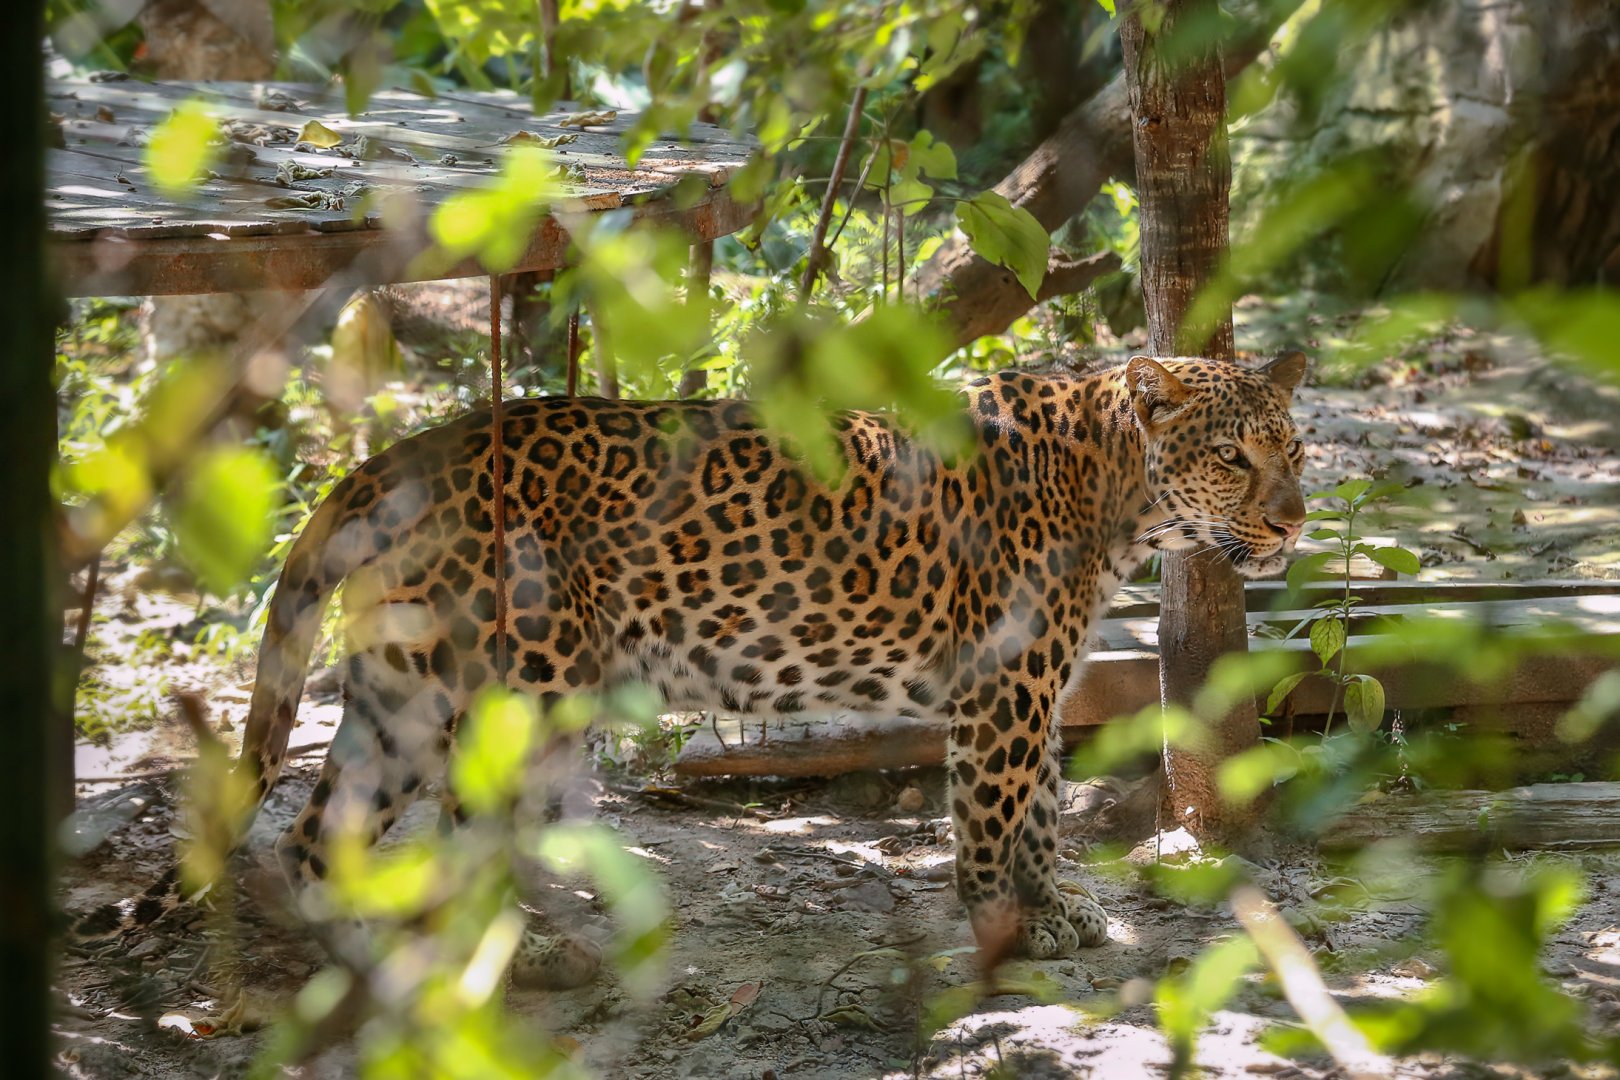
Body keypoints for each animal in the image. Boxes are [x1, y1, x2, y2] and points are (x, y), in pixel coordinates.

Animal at [73, 351, 1307, 981]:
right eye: (1233, 458)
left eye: (1294, 449)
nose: (1296, 523)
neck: (1119, 493)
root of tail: (400, 454)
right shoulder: (1001, 687)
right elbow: (1002, 814)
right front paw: (1010, 925)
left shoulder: (1035, 686)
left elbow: (1045, 806)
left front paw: (1061, 911)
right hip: (525, 689)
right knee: (464, 838)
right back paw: (516, 962)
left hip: (403, 691)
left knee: (314, 839)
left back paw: (357, 968)